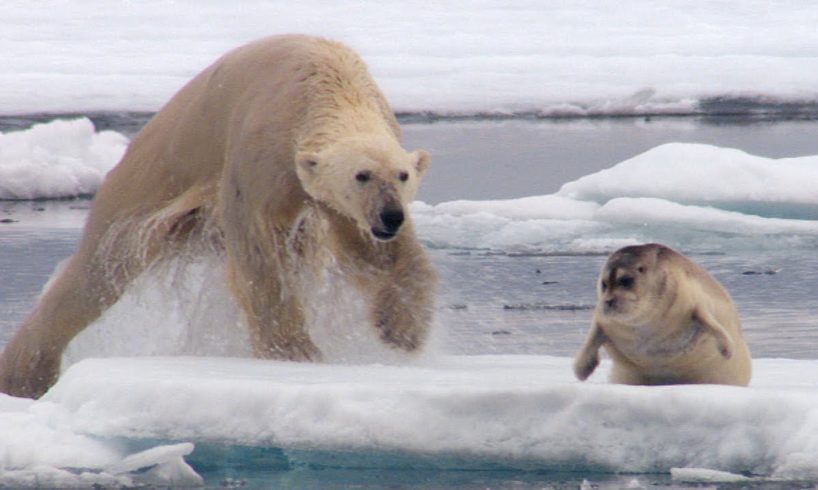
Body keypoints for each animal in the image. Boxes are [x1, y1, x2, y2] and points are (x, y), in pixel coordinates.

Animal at [0, 34, 437, 399]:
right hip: (153, 176)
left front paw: (402, 330)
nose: (391, 216)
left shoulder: (337, 199)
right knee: (98, 270)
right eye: (362, 175)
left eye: (402, 175)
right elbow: (259, 252)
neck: (326, 83)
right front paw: (296, 353)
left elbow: (376, 254)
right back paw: (25, 374)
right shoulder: (261, 150)